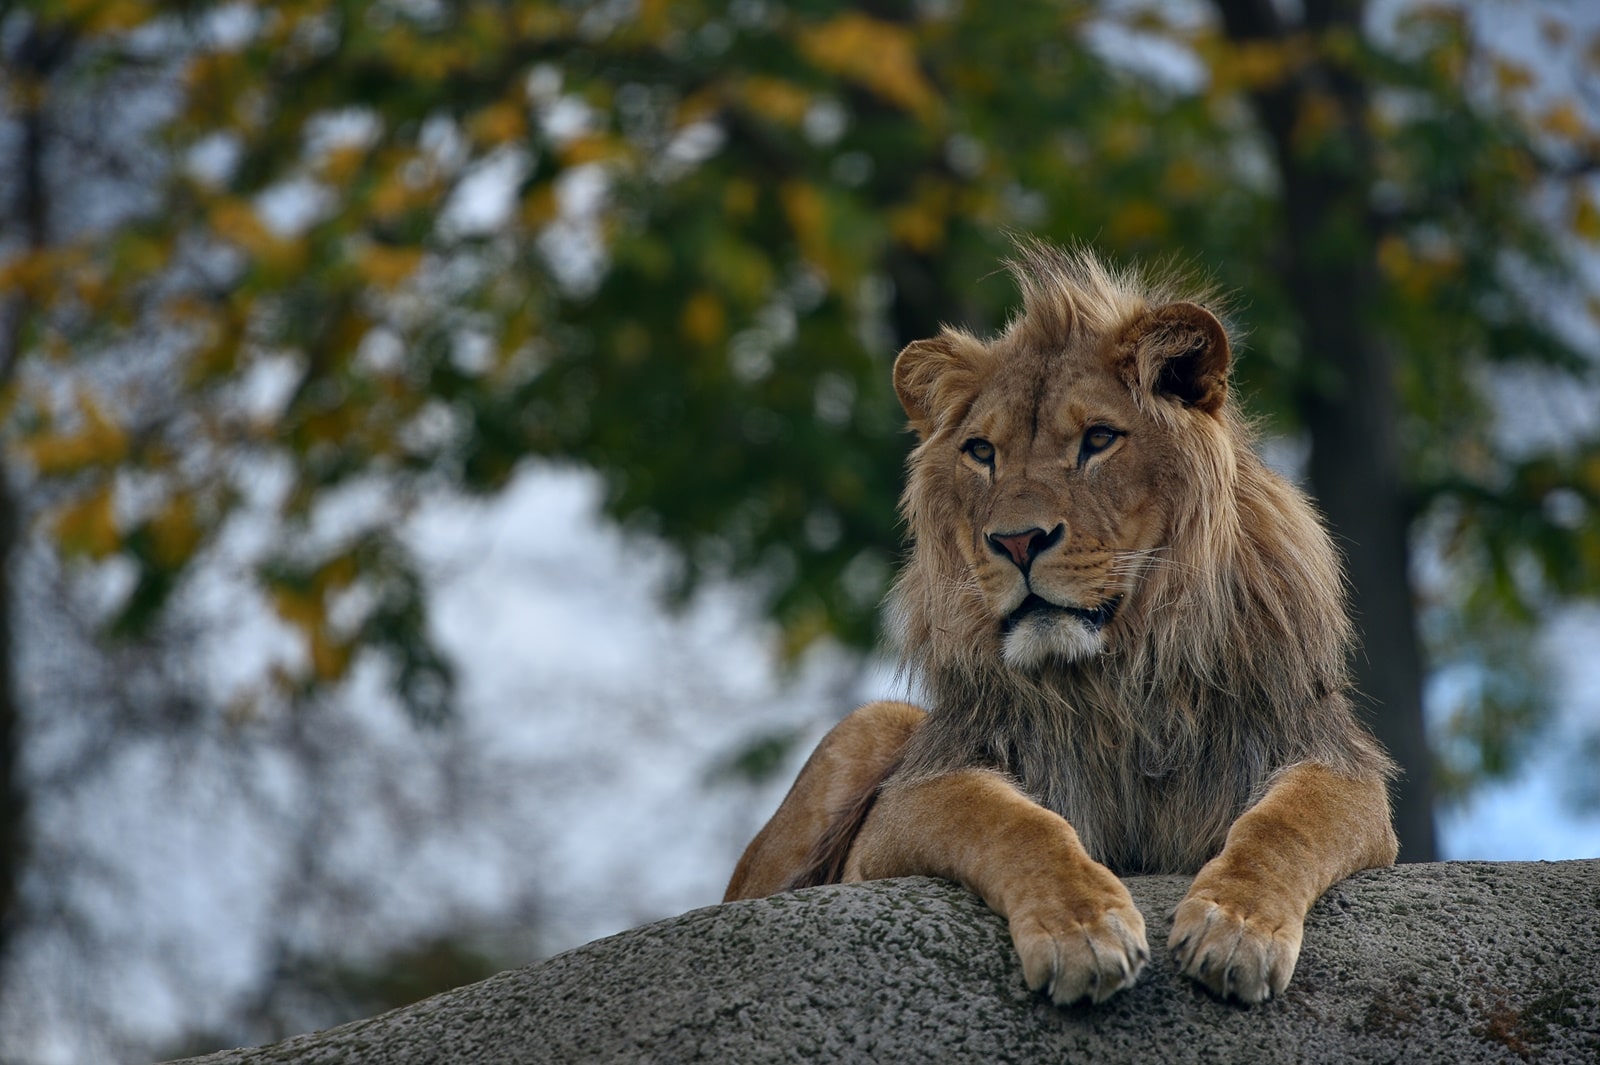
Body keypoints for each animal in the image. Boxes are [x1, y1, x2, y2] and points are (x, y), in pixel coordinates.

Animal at [720, 238, 1395, 1004]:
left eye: (1098, 439)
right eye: (982, 452)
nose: (1017, 542)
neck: (1118, 678)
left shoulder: (1331, 760)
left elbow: (1288, 825)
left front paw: (1235, 926)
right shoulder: (906, 805)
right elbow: (1011, 820)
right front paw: (1085, 931)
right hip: (872, 728)